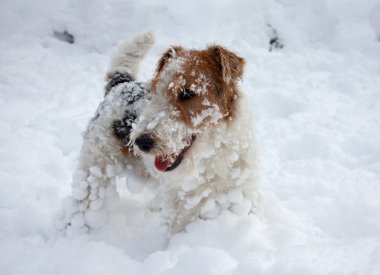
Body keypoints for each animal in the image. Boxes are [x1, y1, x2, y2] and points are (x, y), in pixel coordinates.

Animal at [58, 31, 260, 235]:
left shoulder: (240, 195)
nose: (142, 142)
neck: (212, 155)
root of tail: (120, 84)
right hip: (94, 168)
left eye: (187, 93)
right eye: (155, 90)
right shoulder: (183, 214)